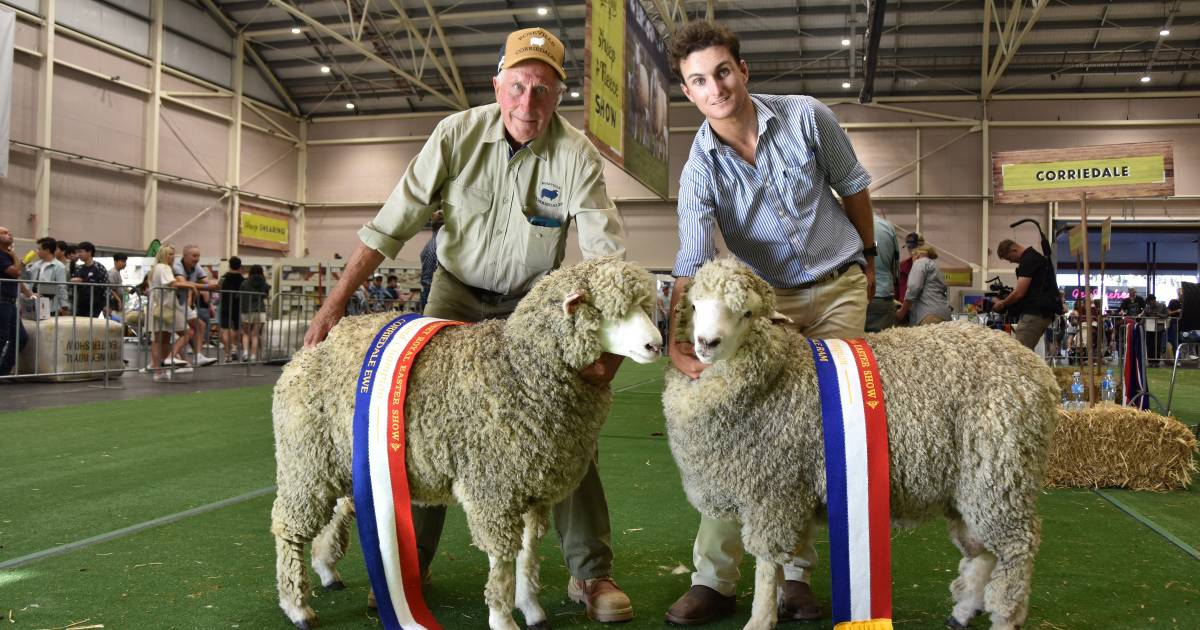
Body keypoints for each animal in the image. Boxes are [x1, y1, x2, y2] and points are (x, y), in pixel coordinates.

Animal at [667, 256, 1060, 628]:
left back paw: (1005, 618)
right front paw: (776, 604)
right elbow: (779, 562)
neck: (779, 371)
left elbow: (766, 563)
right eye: (696, 305)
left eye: (747, 313)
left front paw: (760, 618)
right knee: (984, 549)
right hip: (973, 483)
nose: (706, 343)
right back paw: (963, 611)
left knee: (1015, 550)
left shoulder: (774, 491)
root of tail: (1039, 371)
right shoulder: (787, 490)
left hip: (1004, 469)